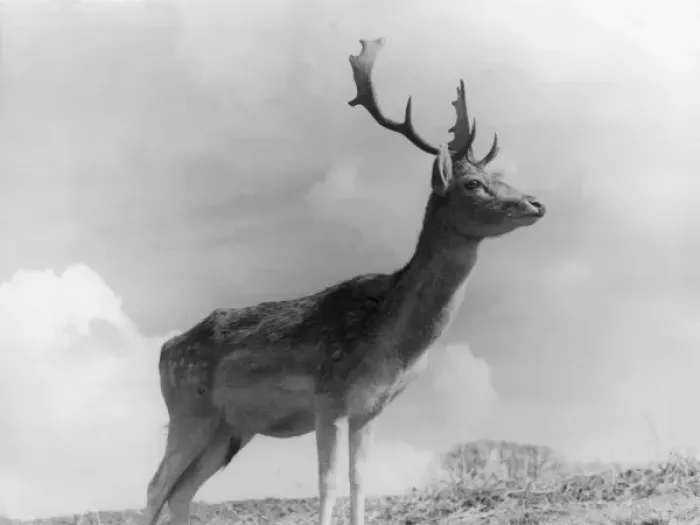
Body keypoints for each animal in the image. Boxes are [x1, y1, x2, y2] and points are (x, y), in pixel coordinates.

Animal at [144, 37, 546, 525]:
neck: (390, 346)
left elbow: (359, 483)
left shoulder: (368, 411)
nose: (536, 203)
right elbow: (329, 484)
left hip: (229, 428)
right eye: (472, 184)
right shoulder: (329, 396)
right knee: (156, 486)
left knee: (182, 493)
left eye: (498, 176)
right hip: (189, 409)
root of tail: (165, 349)